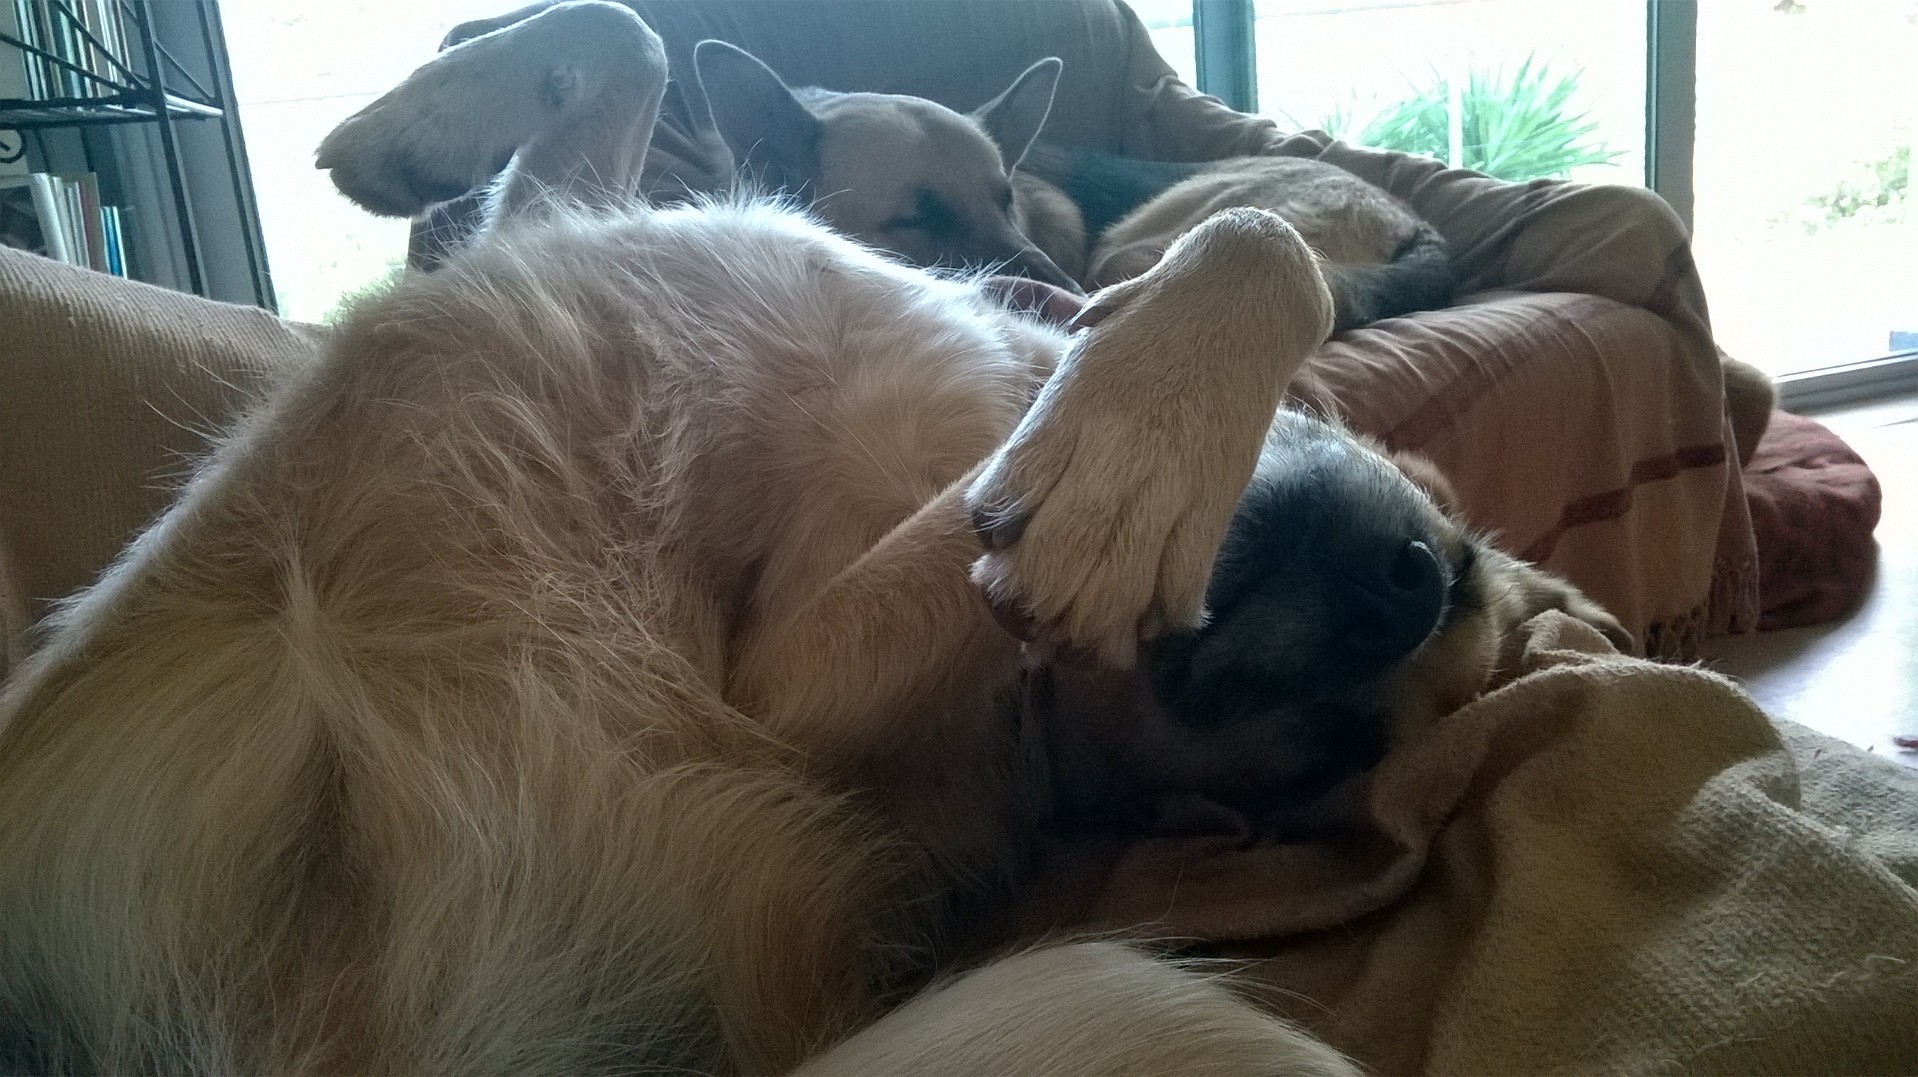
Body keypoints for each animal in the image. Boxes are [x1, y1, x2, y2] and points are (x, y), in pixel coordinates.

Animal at [0, 4, 1620, 1073]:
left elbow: (1254, 254)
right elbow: (627, 39)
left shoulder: (783, 686)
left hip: (1139, 1011)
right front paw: (410, 127)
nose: (1396, 591)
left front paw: (1121, 470)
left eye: (1320, 757)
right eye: (1452, 567)